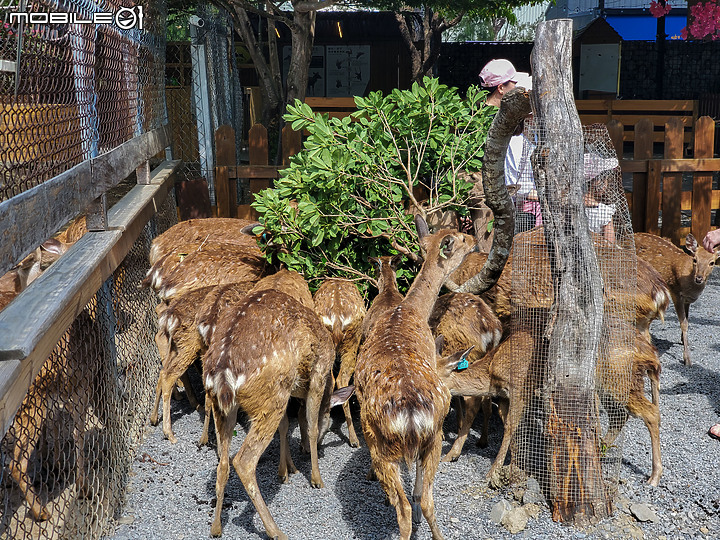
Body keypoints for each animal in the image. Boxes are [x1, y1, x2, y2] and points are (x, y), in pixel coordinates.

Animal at [354, 218, 478, 540]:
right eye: (460, 238)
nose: (475, 240)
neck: (408, 309)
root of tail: (409, 414)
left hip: (402, 444)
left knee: (414, 501)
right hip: (419, 438)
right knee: (414, 504)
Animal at [632, 233, 716, 368]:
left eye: (712, 262)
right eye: (695, 259)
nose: (699, 278)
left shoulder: (687, 300)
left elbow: (687, 320)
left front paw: (683, 340)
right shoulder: (676, 293)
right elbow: (684, 323)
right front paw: (687, 359)